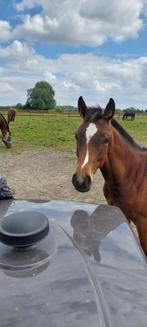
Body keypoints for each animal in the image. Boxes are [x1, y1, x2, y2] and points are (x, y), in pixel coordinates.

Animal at [72, 96, 147, 258]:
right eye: (76, 135)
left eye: (106, 140)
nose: (81, 181)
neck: (133, 177)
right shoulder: (120, 213)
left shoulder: (143, 223)